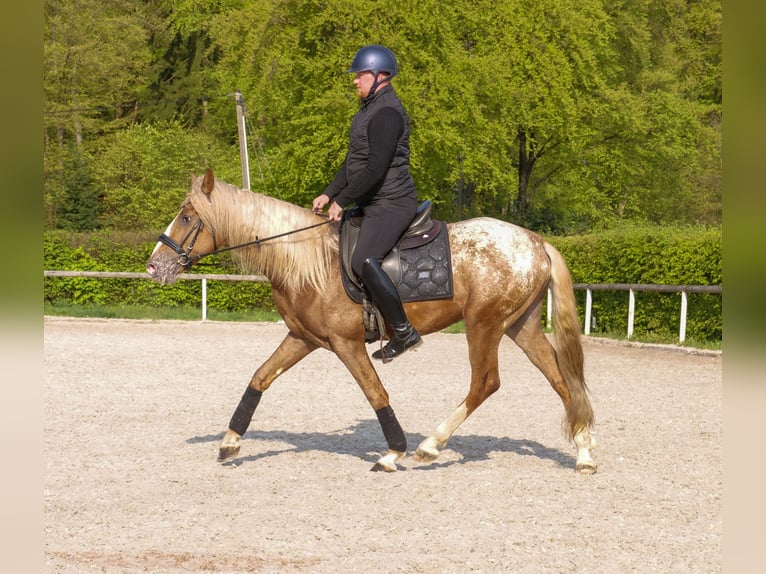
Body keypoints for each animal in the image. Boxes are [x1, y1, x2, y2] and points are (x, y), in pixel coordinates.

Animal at [147, 168, 596, 473]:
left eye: (186, 217)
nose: (153, 266)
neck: (310, 260)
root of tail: (535, 241)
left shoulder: (345, 344)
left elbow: (375, 392)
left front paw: (393, 452)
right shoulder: (303, 337)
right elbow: (260, 377)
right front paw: (230, 442)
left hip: (483, 326)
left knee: (486, 383)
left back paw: (430, 445)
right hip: (522, 327)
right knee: (562, 381)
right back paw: (585, 453)